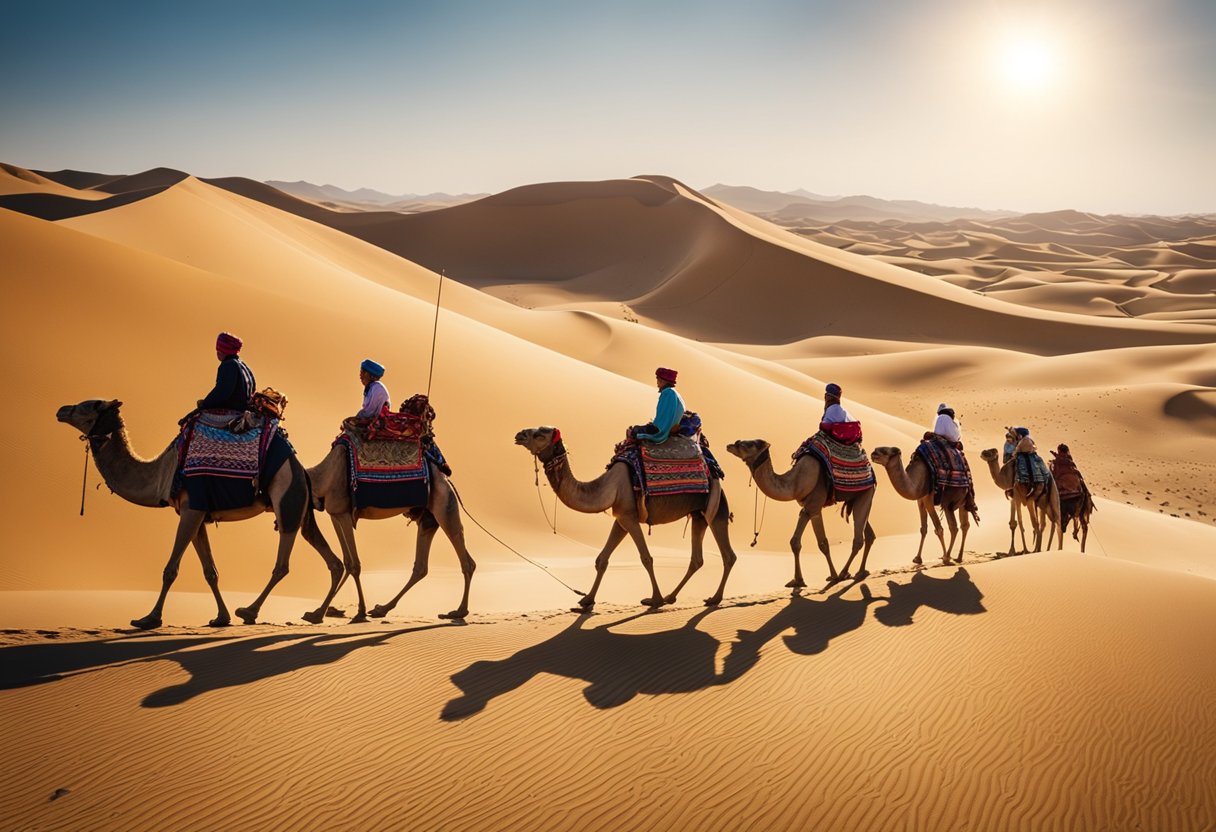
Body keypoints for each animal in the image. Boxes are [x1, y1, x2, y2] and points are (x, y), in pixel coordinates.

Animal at [56, 398, 342, 627]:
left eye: (89, 405)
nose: (61, 409)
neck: (162, 471)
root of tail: (301, 469)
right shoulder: (197, 515)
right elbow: (210, 571)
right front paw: (220, 618)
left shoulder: (191, 508)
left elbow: (171, 569)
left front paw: (149, 619)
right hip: (301, 509)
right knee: (332, 560)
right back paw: (315, 614)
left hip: (287, 501)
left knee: (282, 565)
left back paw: (249, 611)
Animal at [304, 437, 474, 620]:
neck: (323, 476)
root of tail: (447, 479)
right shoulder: (335, 515)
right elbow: (348, 562)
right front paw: (319, 611)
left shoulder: (343, 513)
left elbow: (354, 564)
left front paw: (359, 612)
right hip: (429, 518)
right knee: (421, 566)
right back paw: (382, 609)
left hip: (444, 506)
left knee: (465, 558)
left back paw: (459, 611)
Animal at [510, 425, 734, 608]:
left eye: (540, 434)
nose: (519, 435)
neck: (610, 486)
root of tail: (714, 472)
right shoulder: (620, 517)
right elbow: (602, 559)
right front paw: (586, 600)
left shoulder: (630, 518)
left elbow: (646, 558)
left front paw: (655, 600)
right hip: (698, 514)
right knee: (697, 559)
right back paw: (672, 596)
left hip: (717, 510)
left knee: (728, 555)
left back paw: (713, 598)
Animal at [719, 437, 875, 581]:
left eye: (749, 444)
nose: (730, 445)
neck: (795, 483)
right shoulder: (811, 510)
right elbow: (811, 543)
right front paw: (803, 579)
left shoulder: (813, 506)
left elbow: (810, 543)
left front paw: (827, 576)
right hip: (855, 499)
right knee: (869, 534)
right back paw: (861, 572)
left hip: (866, 493)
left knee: (858, 540)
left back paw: (844, 572)